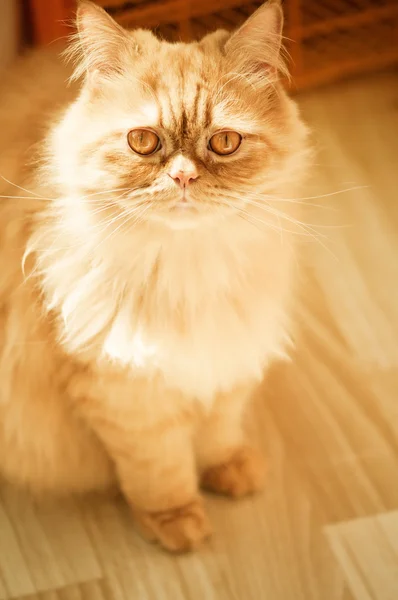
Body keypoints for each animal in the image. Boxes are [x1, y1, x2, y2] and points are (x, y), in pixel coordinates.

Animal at [0, 1, 310, 552]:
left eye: (224, 142)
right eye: (142, 141)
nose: (183, 176)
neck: (190, 270)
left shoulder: (229, 352)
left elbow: (220, 430)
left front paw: (231, 471)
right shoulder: (124, 391)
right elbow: (161, 469)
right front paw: (178, 524)